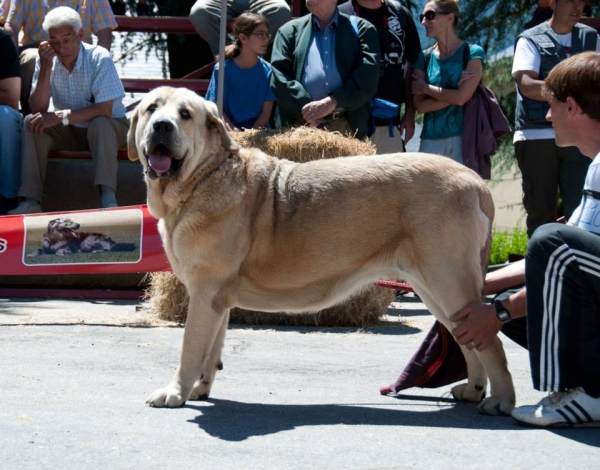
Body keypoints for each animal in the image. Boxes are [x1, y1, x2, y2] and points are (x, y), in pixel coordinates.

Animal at [127, 87, 516, 414]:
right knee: (467, 336)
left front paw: (175, 392)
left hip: (447, 280)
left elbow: (191, 347)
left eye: (185, 114)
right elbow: (212, 348)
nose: (161, 126)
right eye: (151, 109)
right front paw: (200, 388)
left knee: (490, 341)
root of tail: (476, 182)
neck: (201, 178)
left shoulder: (205, 291)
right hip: (435, 288)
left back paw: (501, 401)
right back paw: (474, 390)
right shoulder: (218, 298)